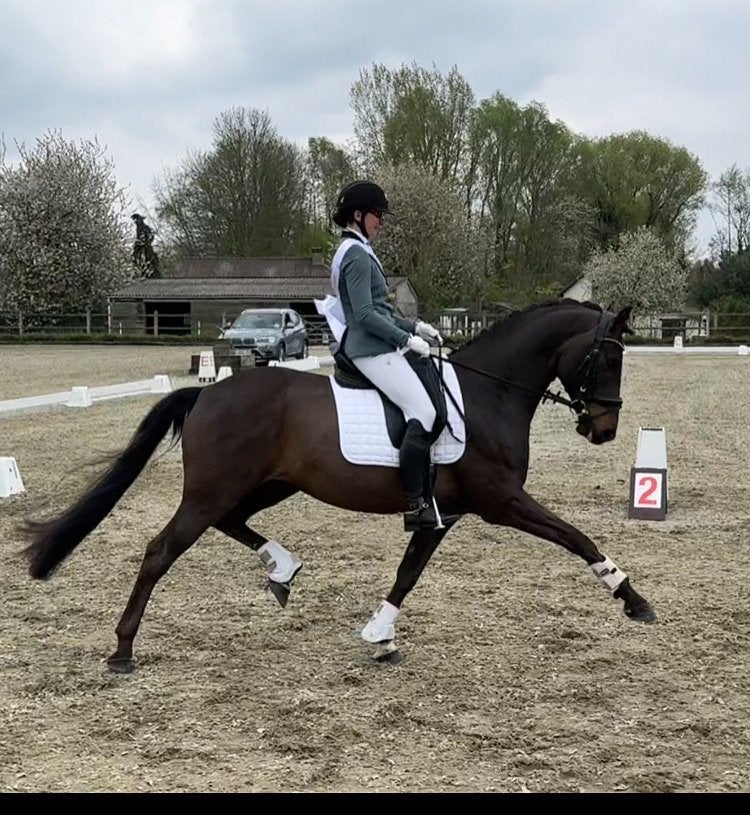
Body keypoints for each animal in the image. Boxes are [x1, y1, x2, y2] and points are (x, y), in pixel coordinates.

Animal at [21, 299, 656, 673]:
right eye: (609, 359)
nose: (604, 429)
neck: (487, 394)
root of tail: (206, 391)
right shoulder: (500, 501)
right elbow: (576, 537)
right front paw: (633, 599)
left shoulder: (443, 511)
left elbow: (408, 570)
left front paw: (381, 634)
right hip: (211, 491)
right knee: (160, 551)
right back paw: (123, 649)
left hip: (268, 484)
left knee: (232, 522)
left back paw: (282, 570)